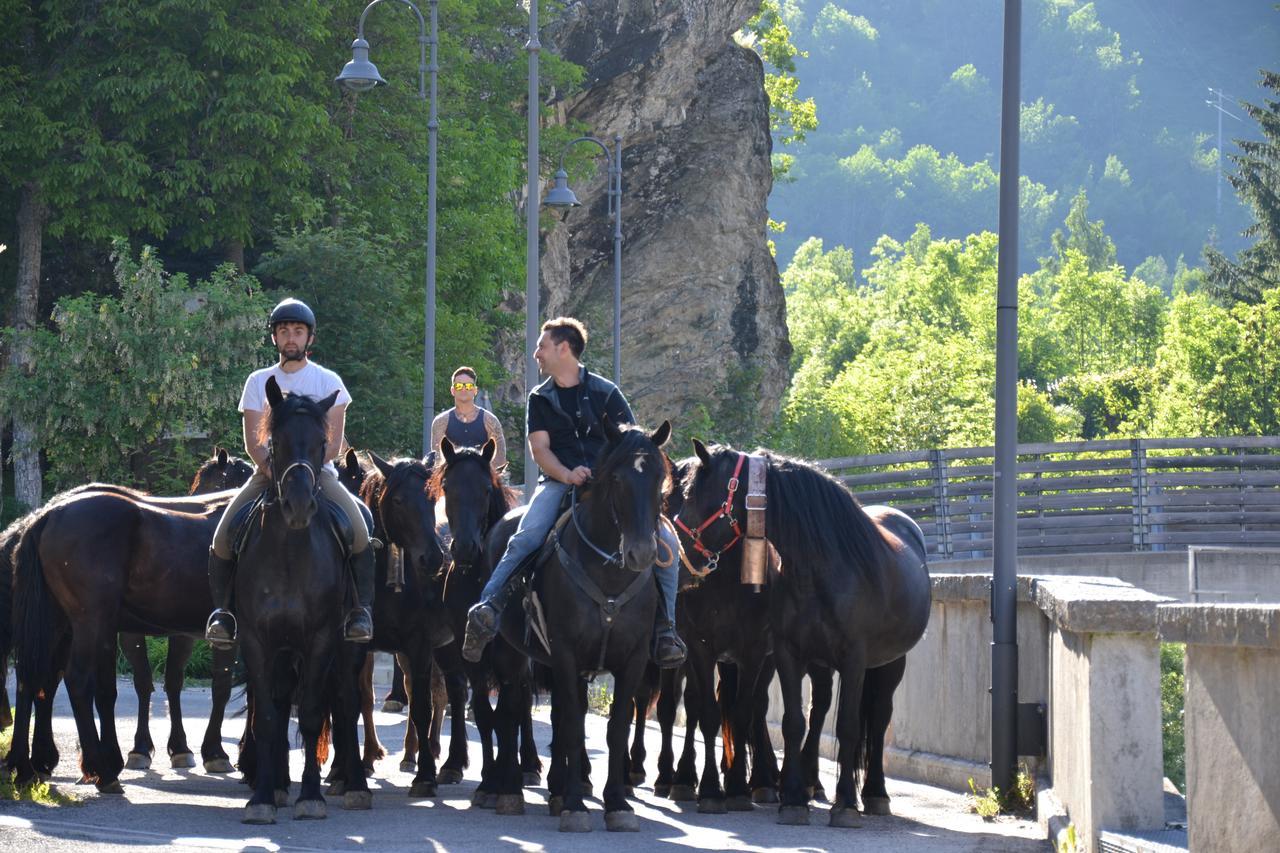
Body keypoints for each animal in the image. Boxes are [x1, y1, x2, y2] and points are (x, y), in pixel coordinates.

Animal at [235, 376, 368, 819]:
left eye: (321, 443)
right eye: (275, 441)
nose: (298, 505)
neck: (291, 551)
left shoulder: (322, 639)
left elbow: (310, 714)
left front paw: (310, 795)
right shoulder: (257, 641)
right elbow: (267, 717)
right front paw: (262, 797)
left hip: (347, 648)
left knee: (345, 701)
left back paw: (355, 785)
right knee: (277, 704)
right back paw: (276, 783)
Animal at [504, 417, 675, 829]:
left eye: (660, 476)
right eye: (616, 478)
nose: (642, 553)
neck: (609, 573)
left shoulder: (632, 660)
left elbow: (615, 726)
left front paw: (616, 803)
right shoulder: (565, 653)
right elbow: (569, 726)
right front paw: (573, 804)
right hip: (514, 654)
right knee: (514, 708)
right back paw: (510, 788)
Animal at [680, 440, 931, 824]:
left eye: (692, 495)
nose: (681, 556)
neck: (822, 567)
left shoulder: (854, 659)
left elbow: (848, 726)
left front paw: (845, 804)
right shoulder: (789, 654)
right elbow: (793, 722)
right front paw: (794, 799)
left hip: (891, 662)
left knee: (877, 717)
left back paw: (874, 793)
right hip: (817, 662)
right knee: (817, 709)